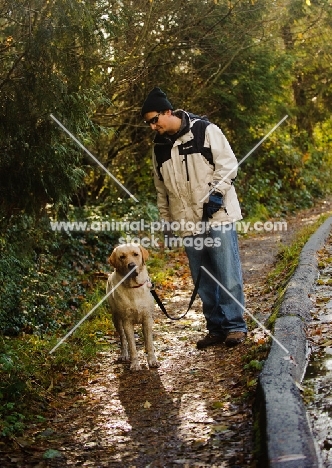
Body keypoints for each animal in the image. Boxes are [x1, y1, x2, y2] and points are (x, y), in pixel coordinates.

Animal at [105, 243, 159, 372]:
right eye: (122, 257)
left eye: (136, 254)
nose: (132, 265)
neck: (134, 287)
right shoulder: (127, 322)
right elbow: (132, 346)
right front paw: (134, 364)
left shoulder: (147, 319)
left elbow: (149, 343)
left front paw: (152, 360)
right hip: (116, 319)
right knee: (123, 339)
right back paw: (124, 354)